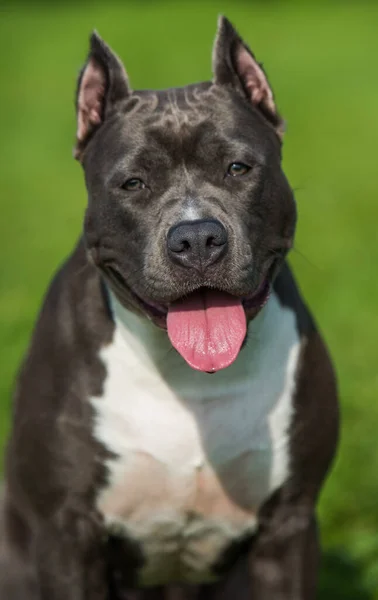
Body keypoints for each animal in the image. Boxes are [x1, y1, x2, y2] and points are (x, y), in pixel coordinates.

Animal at [0, 16, 338, 596]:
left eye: (238, 167)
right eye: (133, 183)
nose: (197, 237)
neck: (188, 376)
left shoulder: (289, 526)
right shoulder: (66, 532)